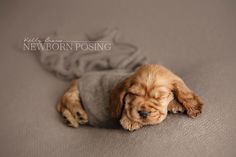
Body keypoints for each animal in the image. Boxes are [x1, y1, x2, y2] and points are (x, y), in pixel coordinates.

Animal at [56, 64, 203, 131]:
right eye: (134, 94)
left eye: (160, 97)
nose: (143, 113)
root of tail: (76, 80)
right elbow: (127, 104)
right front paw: (130, 121)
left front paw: (176, 103)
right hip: (74, 90)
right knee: (67, 98)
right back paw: (78, 114)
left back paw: (71, 119)